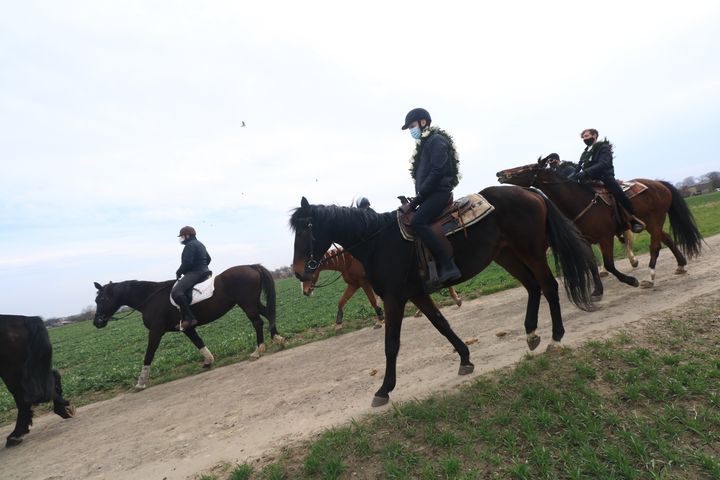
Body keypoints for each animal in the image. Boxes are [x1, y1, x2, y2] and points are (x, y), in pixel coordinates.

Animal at [94, 264, 286, 392]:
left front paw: (141, 382)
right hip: (253, 303)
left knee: (258, 322)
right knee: (269, 314)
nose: (97, 322)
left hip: (247, 304)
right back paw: (278, 339)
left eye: (101, 299)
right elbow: (198, 342)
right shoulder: (187, 328)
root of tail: (251, 266)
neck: (150, 298)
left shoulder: (156, 332)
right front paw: (208, 361)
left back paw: (258, 350)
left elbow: (149, 354)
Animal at [290, 186, 600, 406]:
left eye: (305, 230)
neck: (378, 242)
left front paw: (384, 389)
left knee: (548, 286)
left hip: (531, 252)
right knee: (533, 287)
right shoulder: (416, 295)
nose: (298, 273)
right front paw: (465, 359)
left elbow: (391, 344)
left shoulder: (394, 298)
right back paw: (531, 334)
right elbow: (442, 324)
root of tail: (530, 192)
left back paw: (555, 338)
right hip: (506, 255)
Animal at [498, 158, 700, 294]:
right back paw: (681, 265)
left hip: (654, 220)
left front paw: (630, 280)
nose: (500, 174)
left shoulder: (605, 237)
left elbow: (609, 264)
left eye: (528, 167)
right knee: (667, 238)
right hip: (652, 223)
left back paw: (649, 278)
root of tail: (660, 184)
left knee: (655, 246)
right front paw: (597, 290)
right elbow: (592, 264)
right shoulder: (585, 241)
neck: (580, 200)